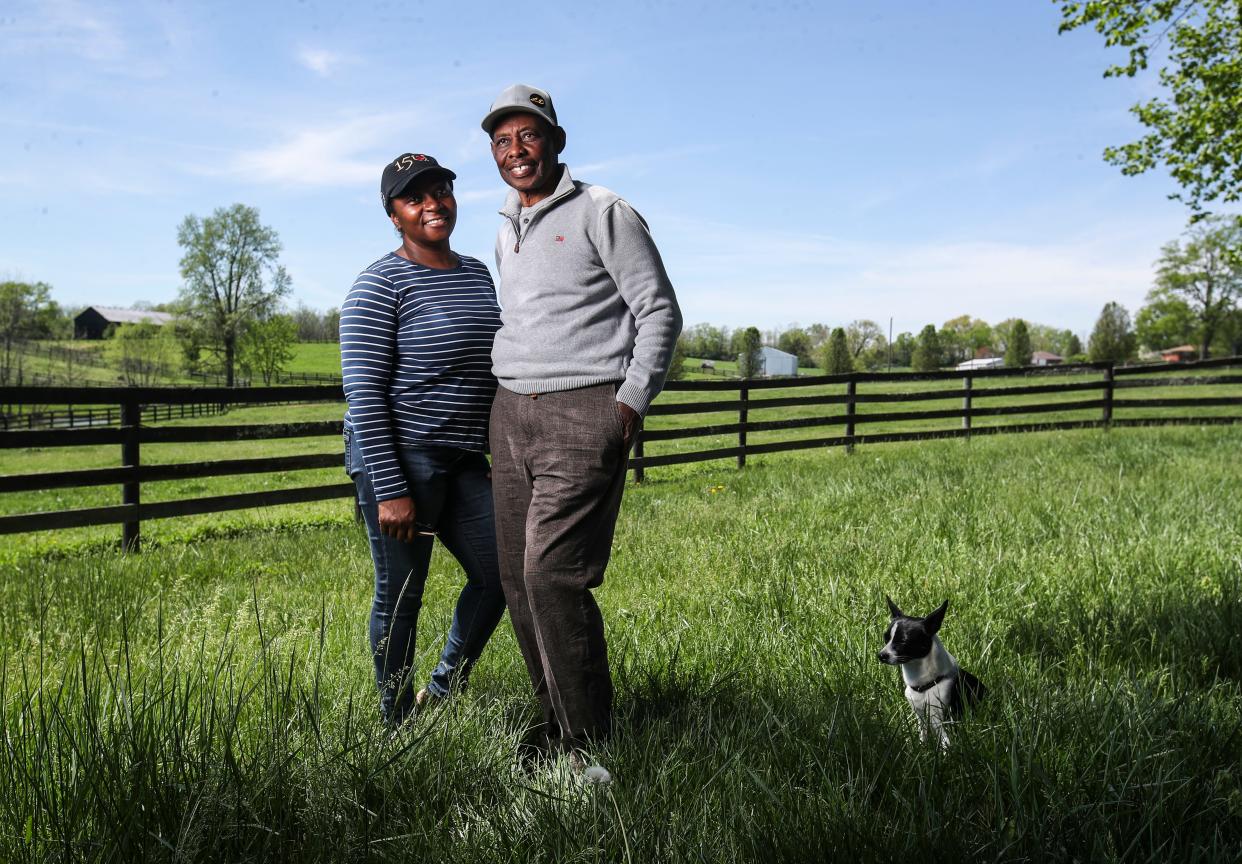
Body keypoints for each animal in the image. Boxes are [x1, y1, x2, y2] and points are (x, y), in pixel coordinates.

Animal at [879, 598, 983, 744]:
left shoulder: (941, 717)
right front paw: (922, 747)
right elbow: (923, 734)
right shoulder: (920, 714)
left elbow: (946, 742)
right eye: (886, 638)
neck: (923, 685)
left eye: (903, 642)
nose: (881, 655)